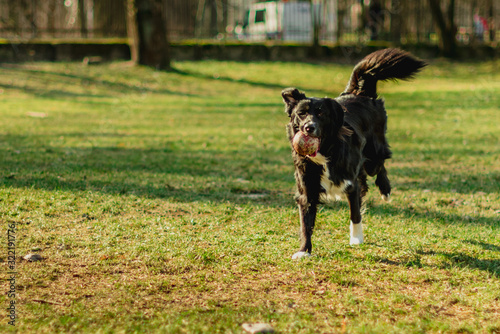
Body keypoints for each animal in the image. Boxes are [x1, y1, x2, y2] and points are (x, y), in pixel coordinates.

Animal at [282, 48, 426, 260]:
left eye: (321, 113)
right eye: (301, 113)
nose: (309, 127)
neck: (326, 152)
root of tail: (357, 92)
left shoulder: (350, 184)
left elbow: (355, 213)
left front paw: (356, 239)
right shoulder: (307, 189)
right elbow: (305, 224)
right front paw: (304, 250)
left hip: (374, 154)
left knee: (379, 166)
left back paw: (386, 191)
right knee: (366, 180)